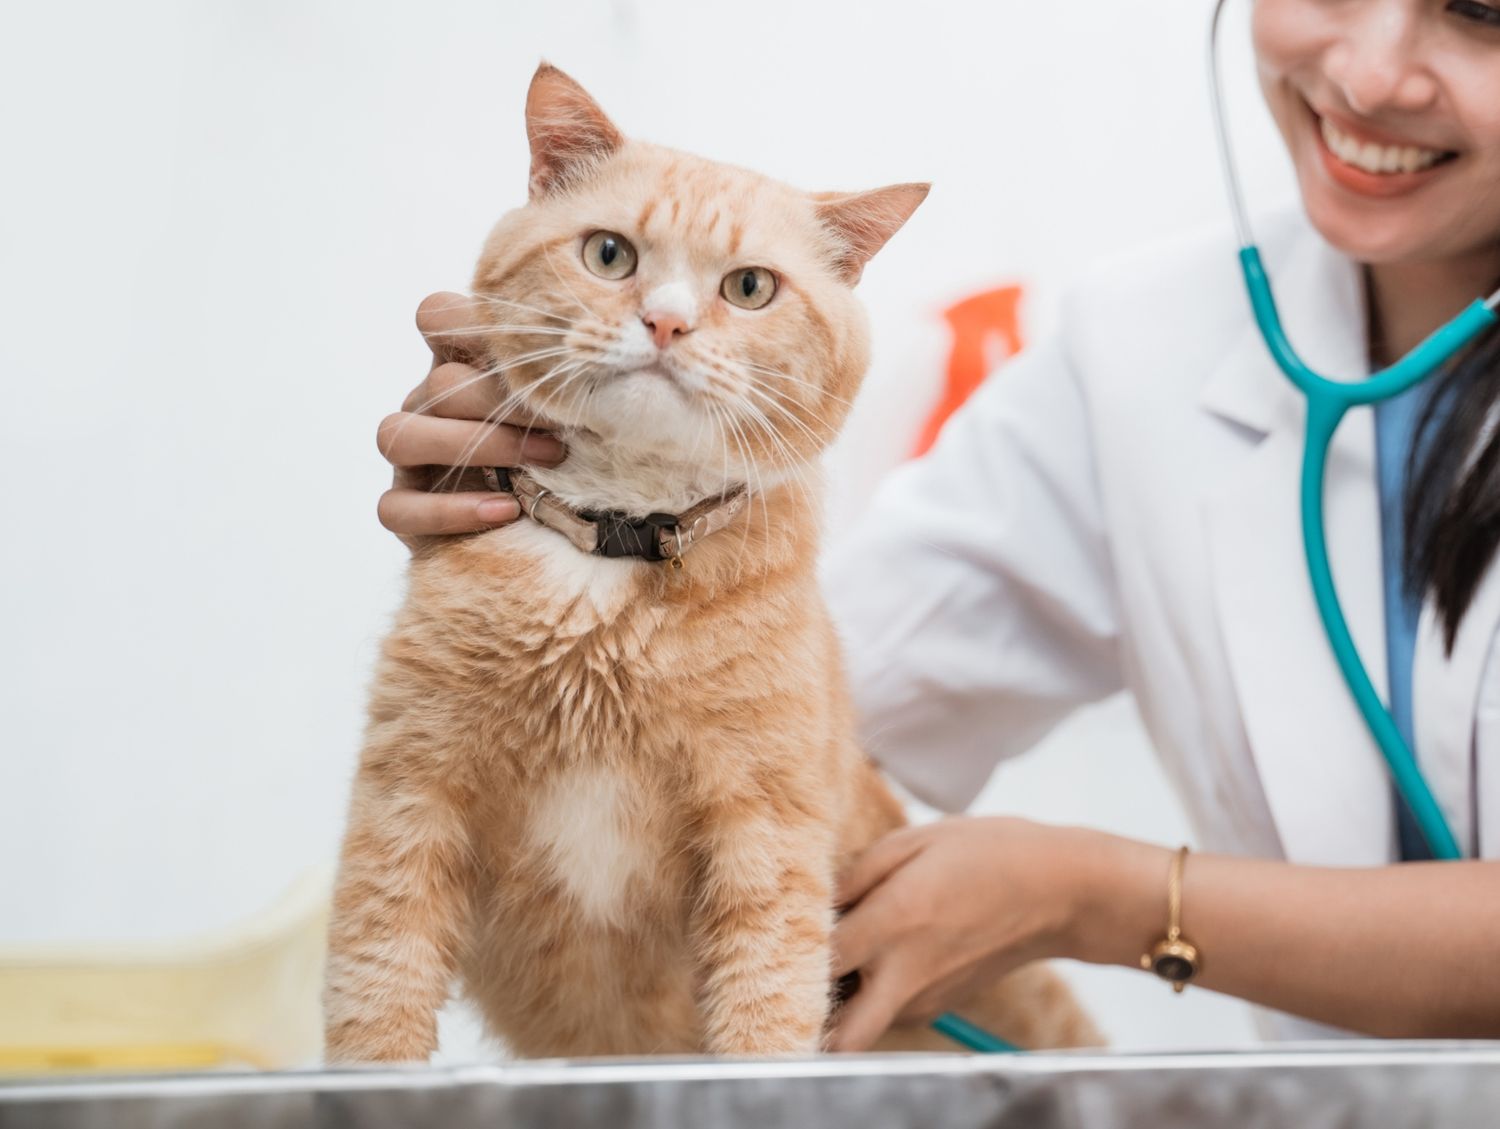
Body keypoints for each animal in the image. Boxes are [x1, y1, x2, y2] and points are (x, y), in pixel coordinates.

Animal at [325, 63, 1104, 1055]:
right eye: (609, 255)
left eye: (749, 287)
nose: (666, 323)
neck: (613, 554)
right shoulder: (409, 796)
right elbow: (376, 997)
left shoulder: (765, 834)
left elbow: (765, 1008)